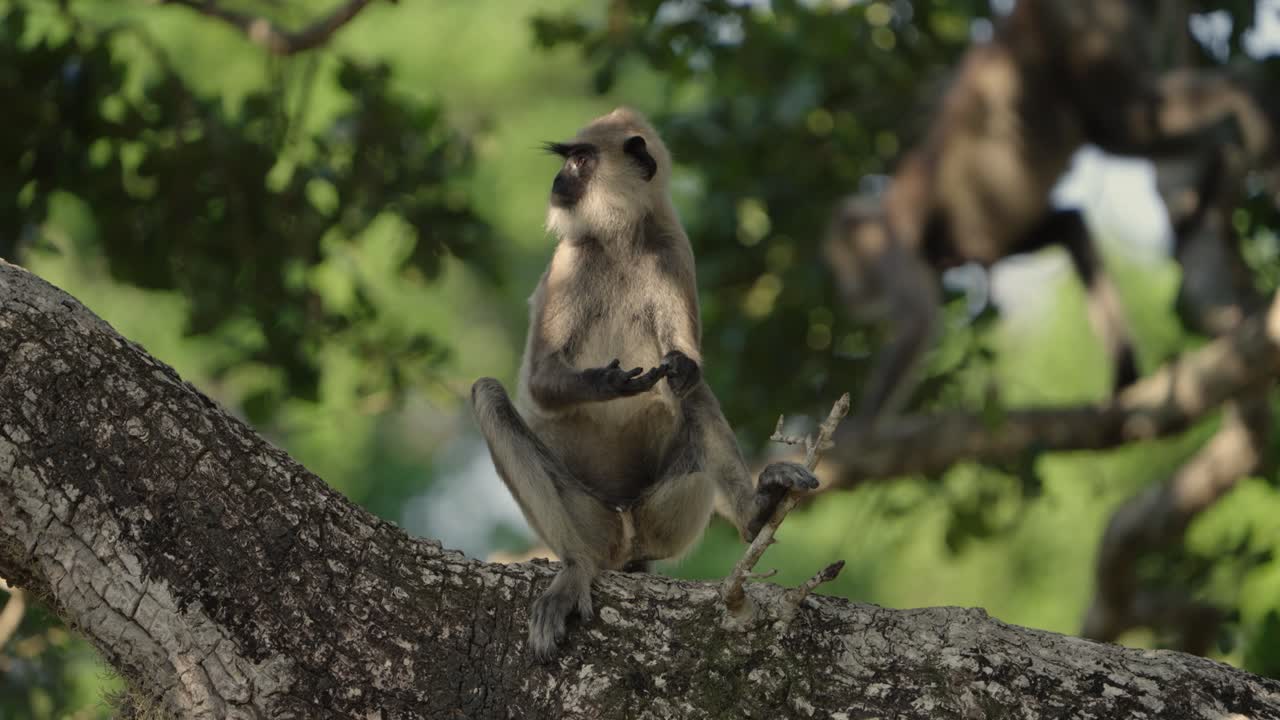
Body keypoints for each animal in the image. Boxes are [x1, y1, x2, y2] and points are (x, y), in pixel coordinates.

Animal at [470, 108, 818, 661]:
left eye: (580, 160)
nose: (558, 182)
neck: (620, 236)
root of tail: (627, 532)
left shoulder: (671, 250)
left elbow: (685, 367)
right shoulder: (571, 257)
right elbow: (540, 382)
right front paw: (610, 382)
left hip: (664, 511)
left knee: (690, 387)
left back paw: (754, 514)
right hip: (594, 519)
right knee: (488, 394)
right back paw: (575, 568)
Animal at [823, 0, 1276, 427]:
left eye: (846, 264)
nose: (846, 290)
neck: (884, 214)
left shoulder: (892, 250)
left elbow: (916, 320)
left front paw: (857, 432)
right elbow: (1066, 224)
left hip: (1084, 24)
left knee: (1117, 125)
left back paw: (1242, 102)